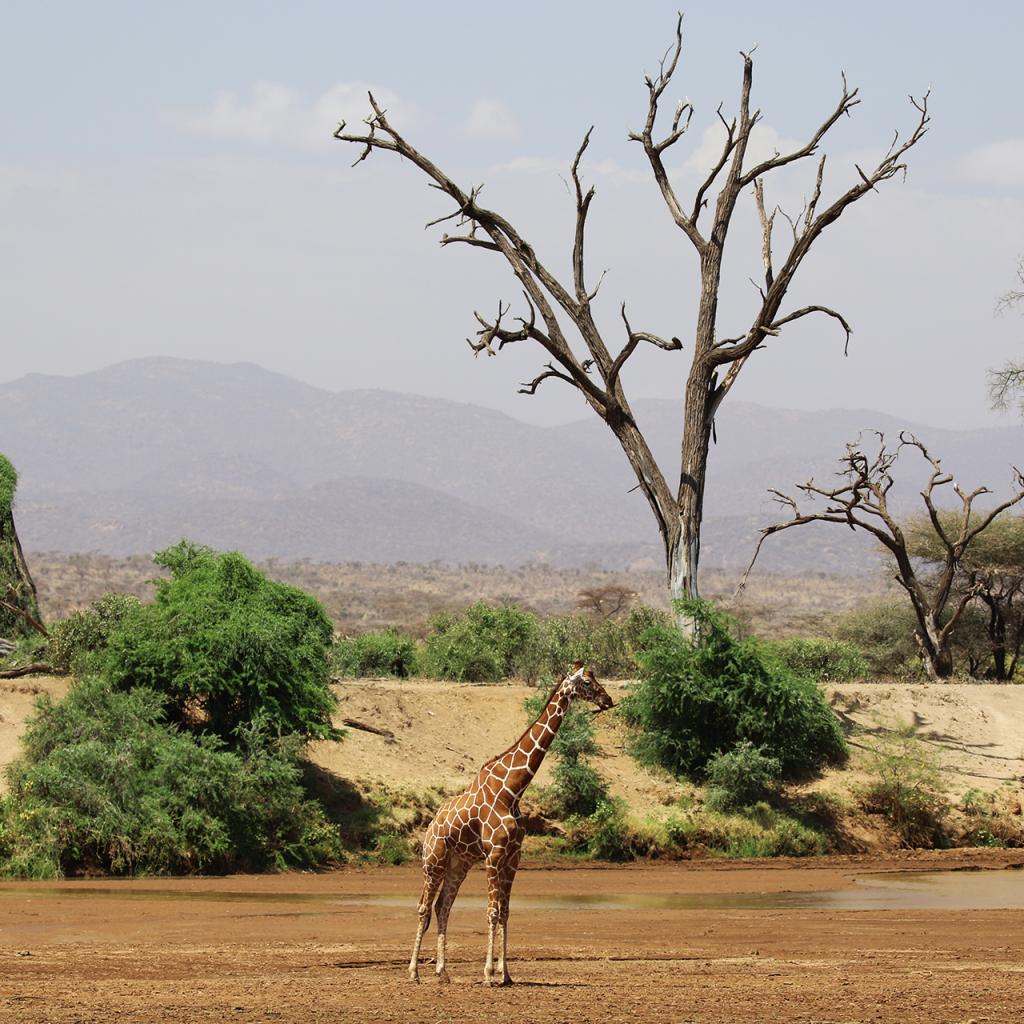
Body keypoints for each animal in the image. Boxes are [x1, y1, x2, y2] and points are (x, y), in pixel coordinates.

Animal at [407, 659, 614, 987]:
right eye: (587, 683)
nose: (608, 700)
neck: (513, 790)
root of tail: (430, 826)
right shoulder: (494, 854)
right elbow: (492, 912)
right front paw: (489, 974)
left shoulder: (513, 857)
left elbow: (505, 912)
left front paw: (506, 974)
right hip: (434, 860)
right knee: (424, 908)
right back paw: (414, 972)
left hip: (459, 863)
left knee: (443, 907)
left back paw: (443, 972)